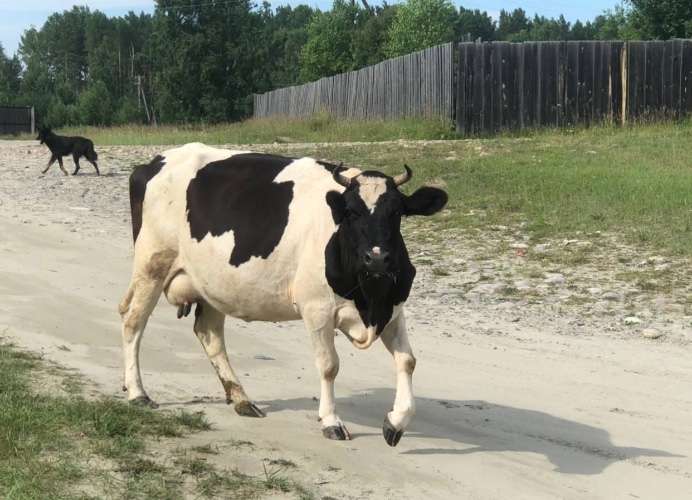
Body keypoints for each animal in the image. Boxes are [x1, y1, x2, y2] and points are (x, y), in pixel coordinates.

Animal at [118, 143, 447, 446]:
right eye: (351, 212)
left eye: (397, 213)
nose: (377, 258)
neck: (368, 297)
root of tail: (153, 162)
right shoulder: (316, 308)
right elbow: (329, 365)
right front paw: (331, 420)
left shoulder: (393, 308)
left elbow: (407, 361)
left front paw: (395, 422)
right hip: (152, 264)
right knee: (133, 321)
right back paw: (137, 392)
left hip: (214, 282)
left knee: (209, 333)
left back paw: (241, 398)